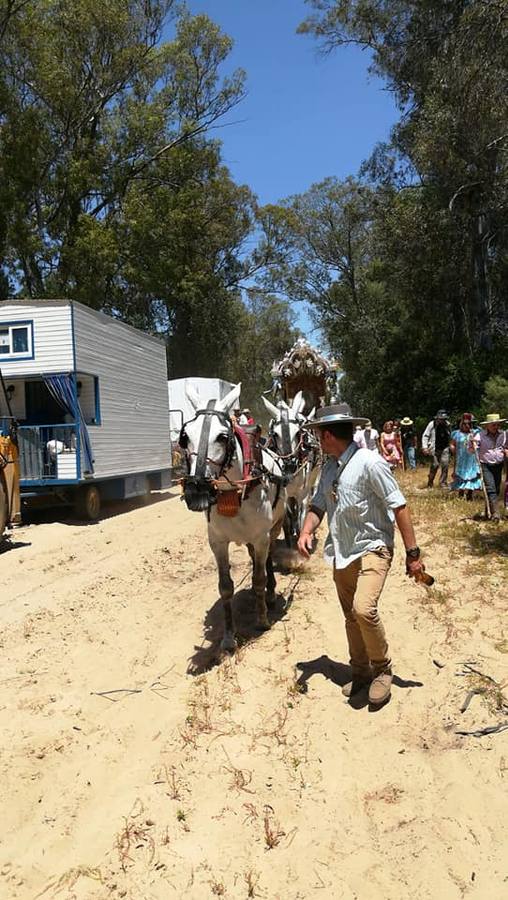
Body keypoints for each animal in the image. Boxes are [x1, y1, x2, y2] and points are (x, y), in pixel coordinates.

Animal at [181, 384, 286, 652]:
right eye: (185, 437)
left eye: (222, 437)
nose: (196, 491)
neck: (234, 493)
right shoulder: (217, 542)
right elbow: (225, 588)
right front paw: (229, 637)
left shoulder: (261, 537)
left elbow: (259, 577)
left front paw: (262, 619)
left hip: (274, 527)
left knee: (268, 557)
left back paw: (270, 594)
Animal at [262, 392, 322, 540]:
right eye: (275, 434)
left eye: (298, 432)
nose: (290, 466)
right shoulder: (285, 494)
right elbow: (288, 514)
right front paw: (290, 530)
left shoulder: (303, 492)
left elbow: (302, 514)